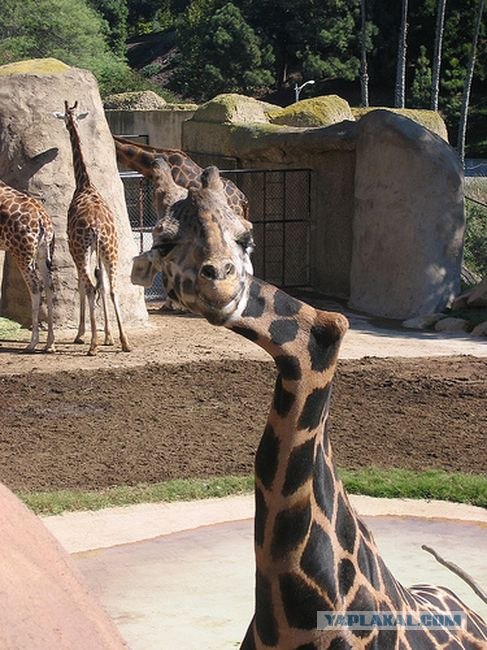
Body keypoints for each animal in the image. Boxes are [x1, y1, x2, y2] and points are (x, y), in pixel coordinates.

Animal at [0, 180, 55, 353]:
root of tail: (42, 219)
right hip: (42, 253)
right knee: (49, 286)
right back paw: (49, 344)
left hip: (22, 253)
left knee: (35, 287)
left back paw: (32, 344)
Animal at [55, 101, 130, 356]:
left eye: (66, 117)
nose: (68, 123)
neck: (84, 183)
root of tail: (96, 225)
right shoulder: (99, 250)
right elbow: (103, 285)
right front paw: (109, 337)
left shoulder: (74, 249)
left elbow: (81, 284)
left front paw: (82, 334)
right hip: (110, 248)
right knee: (113, 287)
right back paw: (124, 342)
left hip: (83, 248)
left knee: (89, 286)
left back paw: (92, 344)